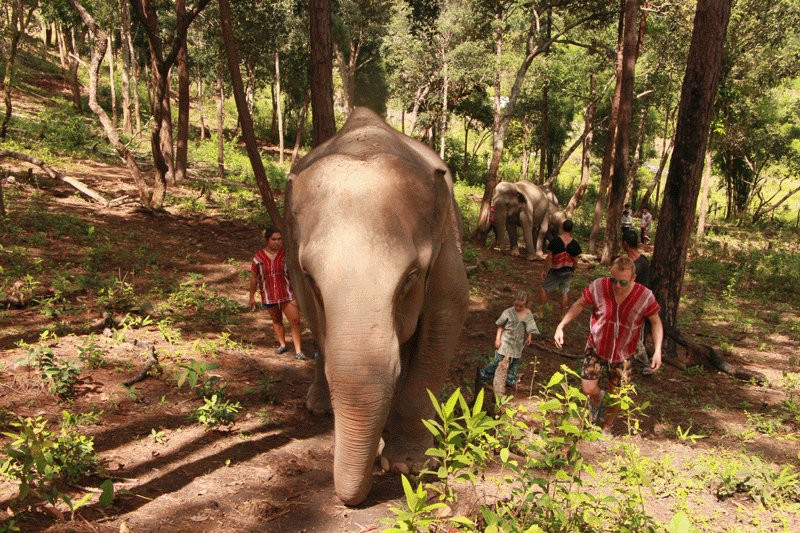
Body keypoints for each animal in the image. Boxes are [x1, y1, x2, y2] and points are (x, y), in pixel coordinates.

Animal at [284, 106, 468, 504]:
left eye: (411, 277)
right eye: (312, 279)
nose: (348, 498)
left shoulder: (446, 246)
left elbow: (445, 318)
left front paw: (407, 465)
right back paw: (318, 407)